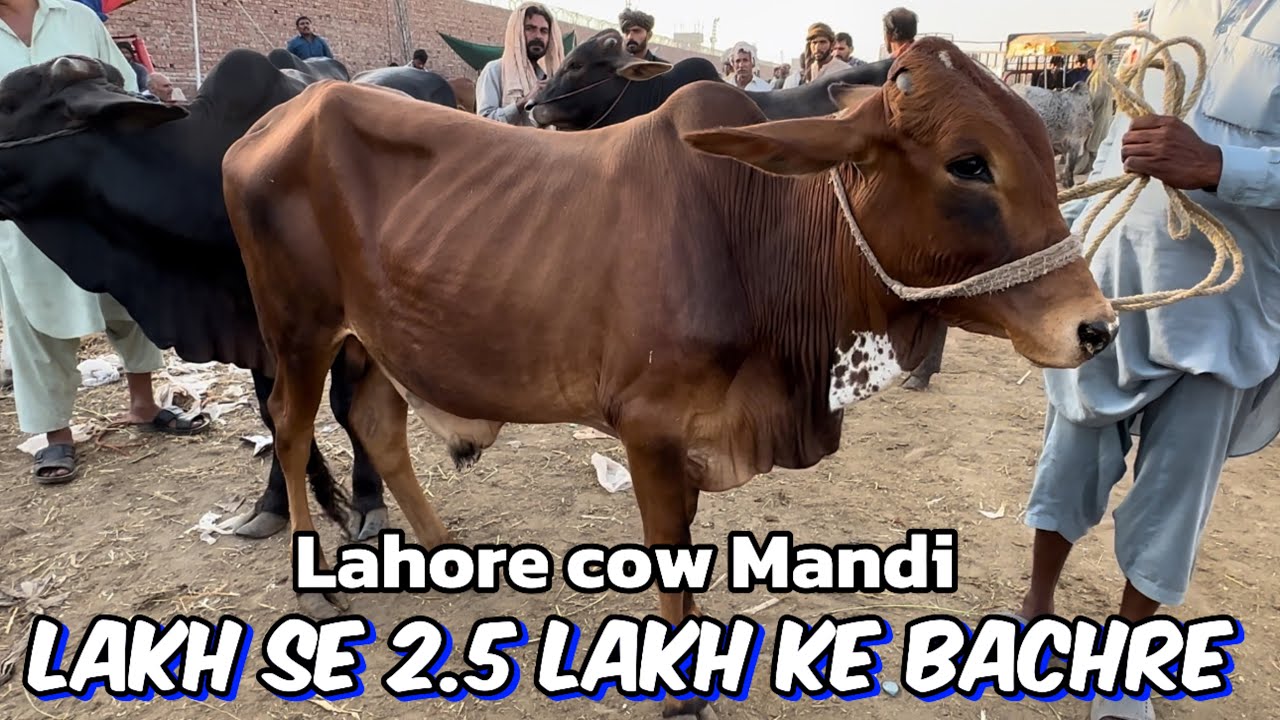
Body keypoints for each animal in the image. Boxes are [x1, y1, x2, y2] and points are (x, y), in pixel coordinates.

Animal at [0, 49, 462, 543]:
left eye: (7, 101)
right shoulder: (261, 331)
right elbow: (272, 415)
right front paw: (272, 505)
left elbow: (344, 408)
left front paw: (367, 503)